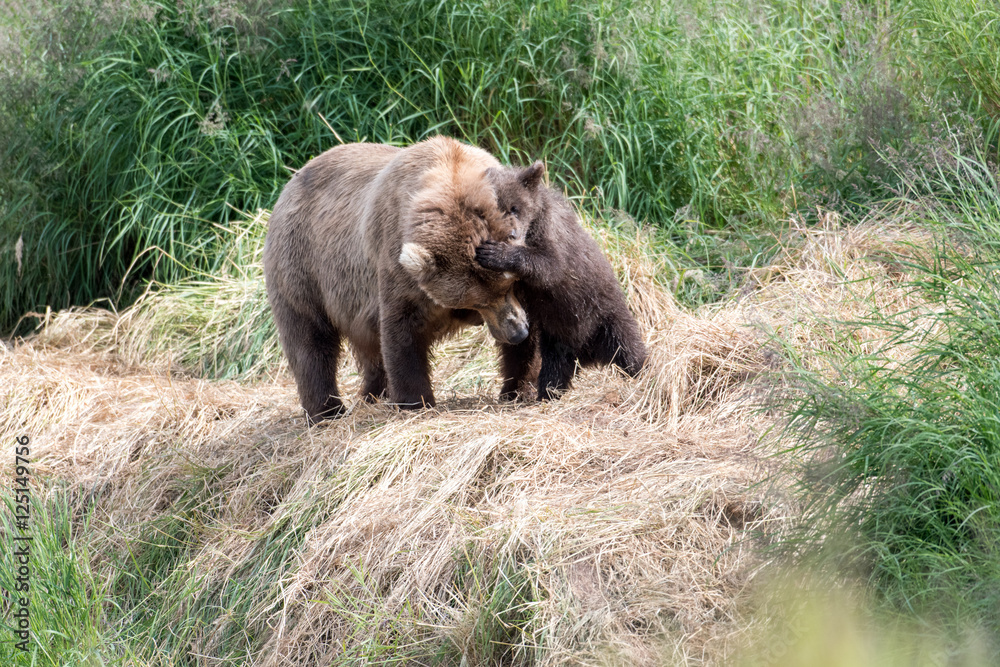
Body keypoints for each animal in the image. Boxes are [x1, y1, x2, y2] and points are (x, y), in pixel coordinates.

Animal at [264, 137, 532, 422]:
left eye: (509, 285)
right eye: (476, 302)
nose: (517, 332)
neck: (451, 172)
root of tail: (289, 184)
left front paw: (519, 387)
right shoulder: (397, 264)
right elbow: (403, 331)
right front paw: (415, 401)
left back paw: (372, 394)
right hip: (303, 264)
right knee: (309, 339)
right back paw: (326, 411)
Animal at [476, 162, 648, 402]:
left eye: (514, 207)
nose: (511, 234)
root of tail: (588, 355)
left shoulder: (554, 239)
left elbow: (549, 265)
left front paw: (495, 253)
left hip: (605, 317)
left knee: (628, 348)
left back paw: (644, 373)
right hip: (557, 337)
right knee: (551, 367)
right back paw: (542, 392)